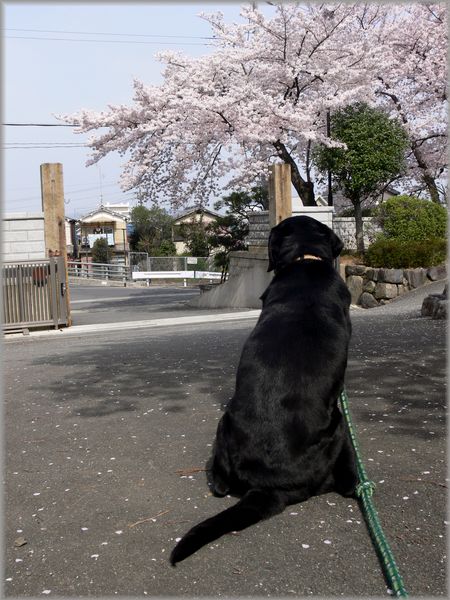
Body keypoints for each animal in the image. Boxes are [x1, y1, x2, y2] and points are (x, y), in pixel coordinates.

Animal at [171, 217, 356, 568]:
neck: (305, 261)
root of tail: (268, 486)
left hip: (224, 422)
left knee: (219, 484)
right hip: (338, 425)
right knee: (344, 480)